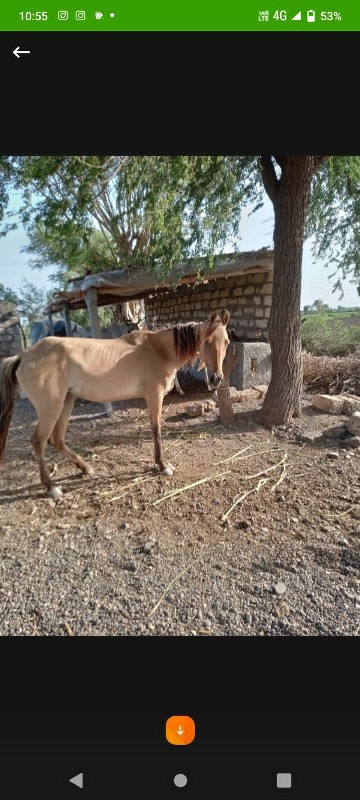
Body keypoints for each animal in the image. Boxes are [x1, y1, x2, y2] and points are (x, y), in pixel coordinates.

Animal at [0, 310, 231, 496]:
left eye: (226, 342)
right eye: (207, 341)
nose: (216, 379)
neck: (158, 350)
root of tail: (22, 357)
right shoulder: (154, 396)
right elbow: (156, 430)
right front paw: (162, 465)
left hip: (66, 401)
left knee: (56, 439)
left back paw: (85, 468)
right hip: (50, 407)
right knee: (39, 442)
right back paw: (52, 486)